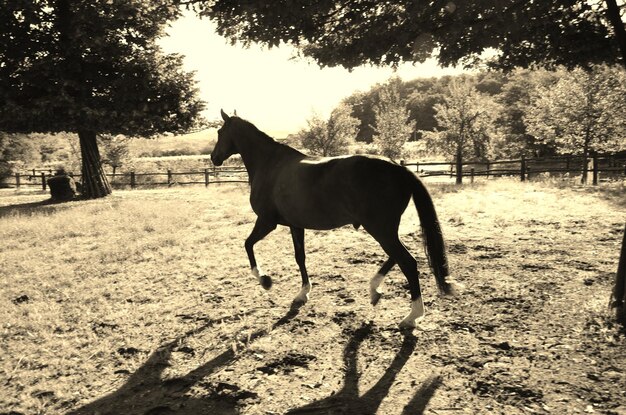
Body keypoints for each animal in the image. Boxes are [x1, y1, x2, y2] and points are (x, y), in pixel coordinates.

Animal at [212, 109, 456, 328]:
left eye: (219, 132)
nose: (213, 158)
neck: (271, 164)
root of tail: (400, 169)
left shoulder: (266, 222)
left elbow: (248, 244)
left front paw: (265, 280)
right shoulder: (295, 225)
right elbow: (300, 257)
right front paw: (303, 293)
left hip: (380, 229)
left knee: (408, 262)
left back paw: (411, 317)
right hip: (385, 230)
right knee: (398, 257)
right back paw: (375, 290)